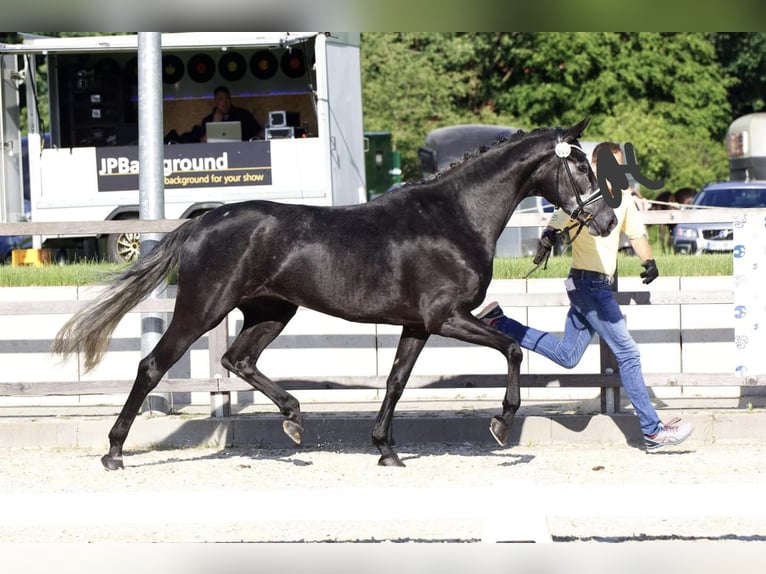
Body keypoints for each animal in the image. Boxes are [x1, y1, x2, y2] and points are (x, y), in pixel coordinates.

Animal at [52, 116, 616, 468]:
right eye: (581, 166)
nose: (607, 221)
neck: (453, 217)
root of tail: (204, 220)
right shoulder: (447, 317)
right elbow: (514, 348)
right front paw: (501, 423)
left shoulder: (417, 325)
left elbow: (396, 381)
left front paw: (386, 449)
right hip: (203, 308)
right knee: (153, 365)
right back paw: (114, 452)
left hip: (271, 311)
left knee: (238, 360)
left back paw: (294, 419)